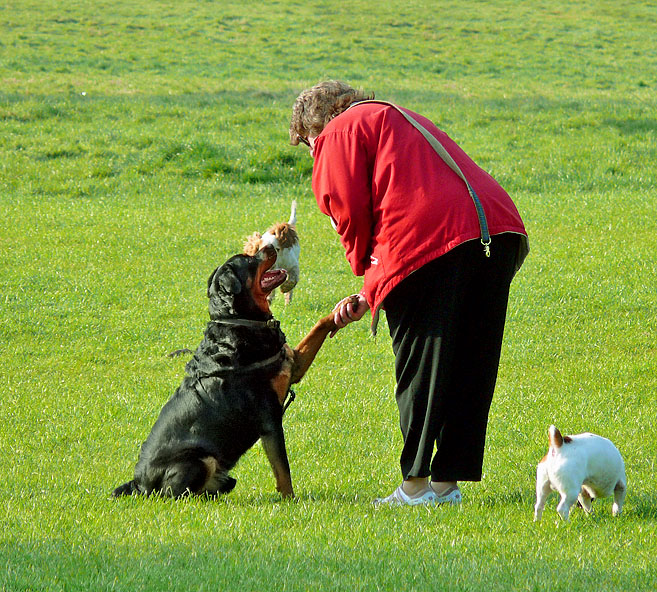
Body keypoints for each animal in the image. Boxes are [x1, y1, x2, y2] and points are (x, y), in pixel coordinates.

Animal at [112, 245, 344, 500]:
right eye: (250, 259)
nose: (271, 246)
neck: (240, 321)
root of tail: (138, 483)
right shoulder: (270, 418)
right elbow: (283, 470)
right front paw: (291, 501)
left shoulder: (293, 365)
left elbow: (319, 325)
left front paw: (345, 307)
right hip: (200, 460)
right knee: (179, 494)